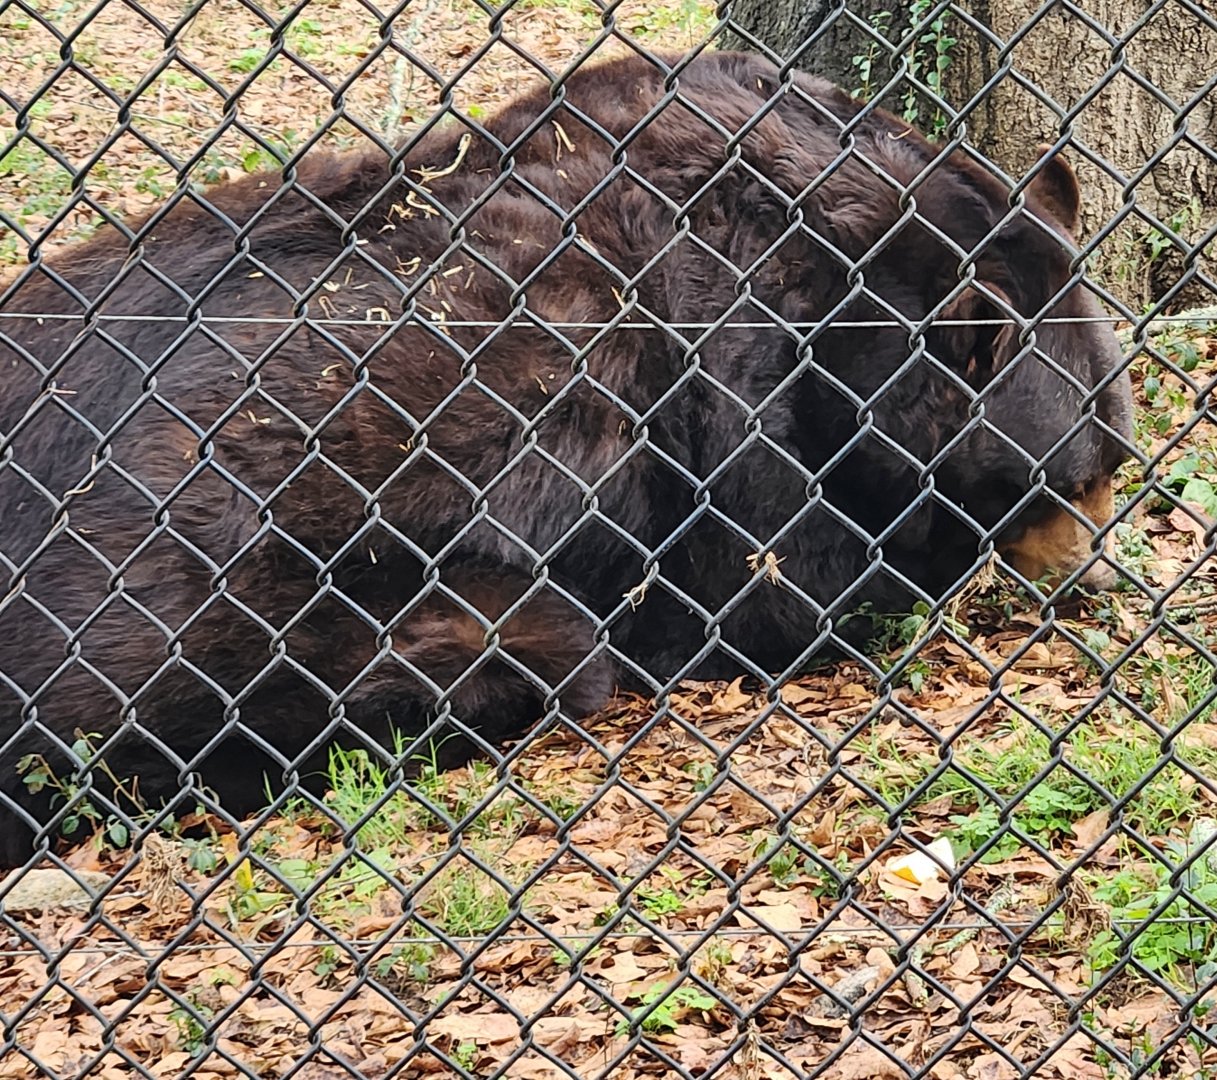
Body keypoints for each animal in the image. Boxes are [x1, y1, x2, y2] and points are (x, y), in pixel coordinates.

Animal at [0, 50, 1132, 866]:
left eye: (1113, 461)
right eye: (1070, 479)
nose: (1099, 578)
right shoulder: (730, 395)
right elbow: (789, 582)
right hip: (213, 597)